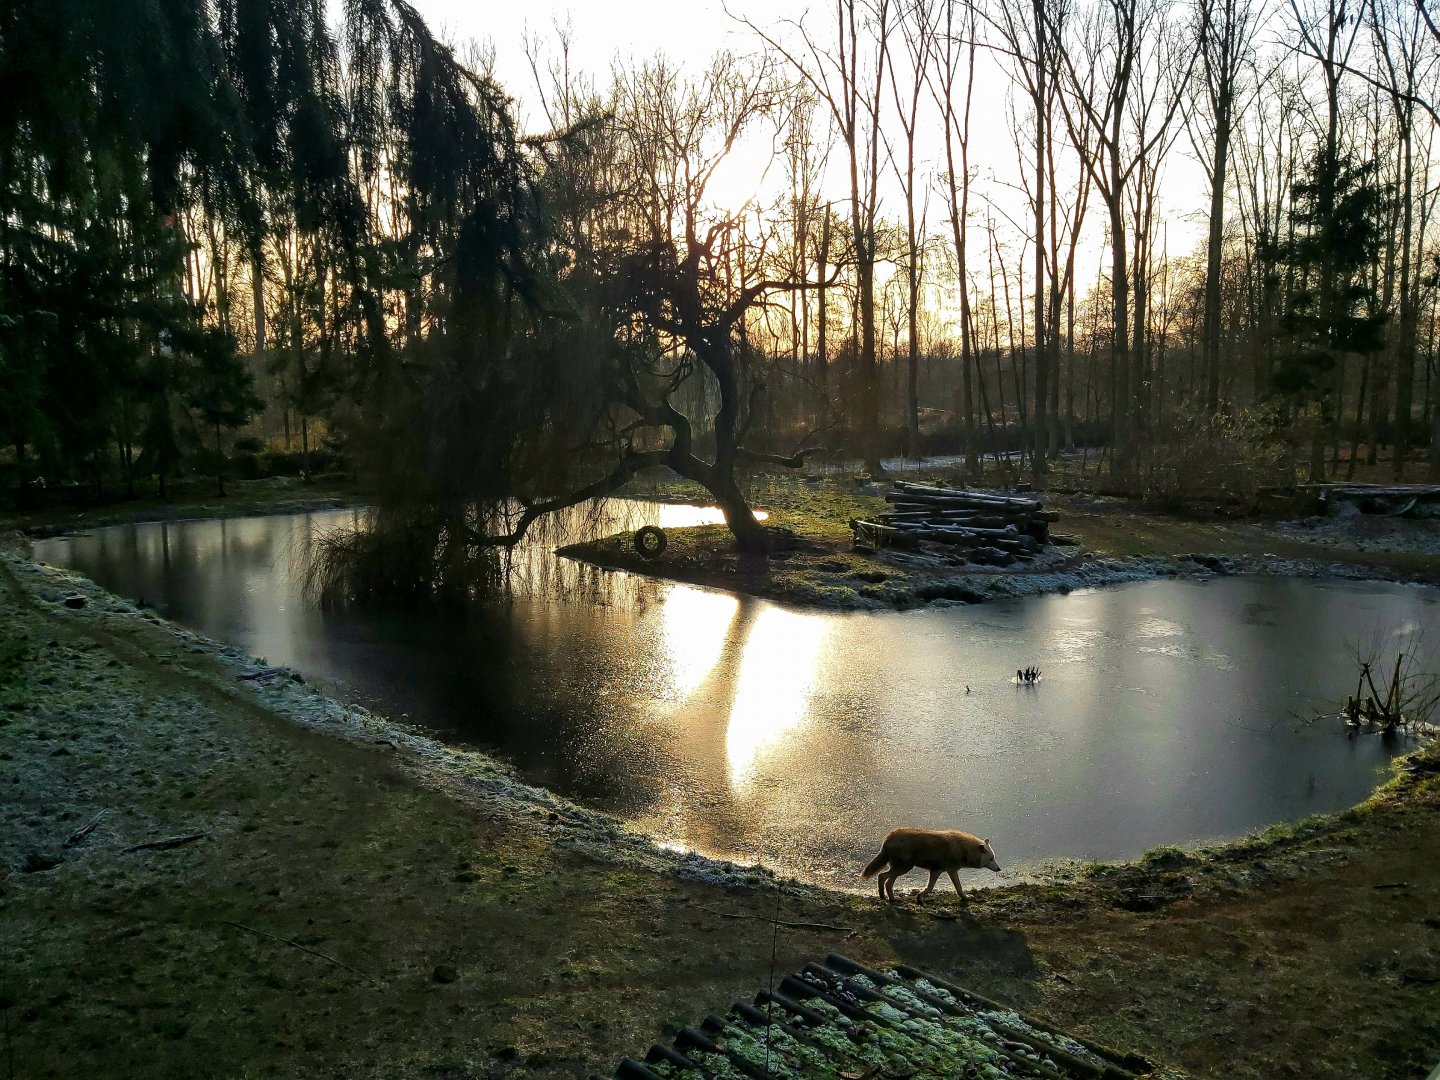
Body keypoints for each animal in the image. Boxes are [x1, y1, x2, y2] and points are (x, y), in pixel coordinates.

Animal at [860, 828, 1001, 902]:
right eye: (991, 859)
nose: (999, 869)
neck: (964, 849)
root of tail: (888, 837)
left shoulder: (952, 871)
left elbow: (959, 888)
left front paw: (965, 898)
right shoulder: (936, 871)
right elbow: (930, 888)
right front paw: (919, 897)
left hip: (900, 868)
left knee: (883, 878)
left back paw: (884, 897)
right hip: (904, 868)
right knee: (885, 879)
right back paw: (892, 899)